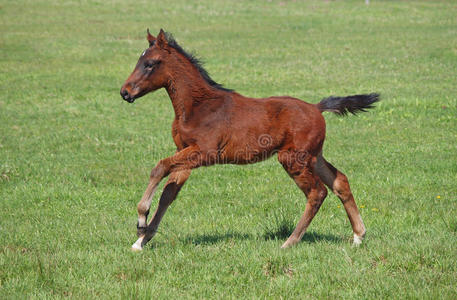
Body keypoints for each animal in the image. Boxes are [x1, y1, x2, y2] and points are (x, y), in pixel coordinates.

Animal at [120, 29, 378, 251]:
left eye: (150, 64)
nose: (125, 92)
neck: (198, 107)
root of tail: (317, 107)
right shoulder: (184, 152)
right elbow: (168, 194)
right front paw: (141, 241)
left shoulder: (204, 152)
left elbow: (159, 167)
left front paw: (141, 220)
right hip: (314, 156)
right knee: (340, 181)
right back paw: (358, 235)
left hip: (292, 158)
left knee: (317, 192)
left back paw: (290, 241)